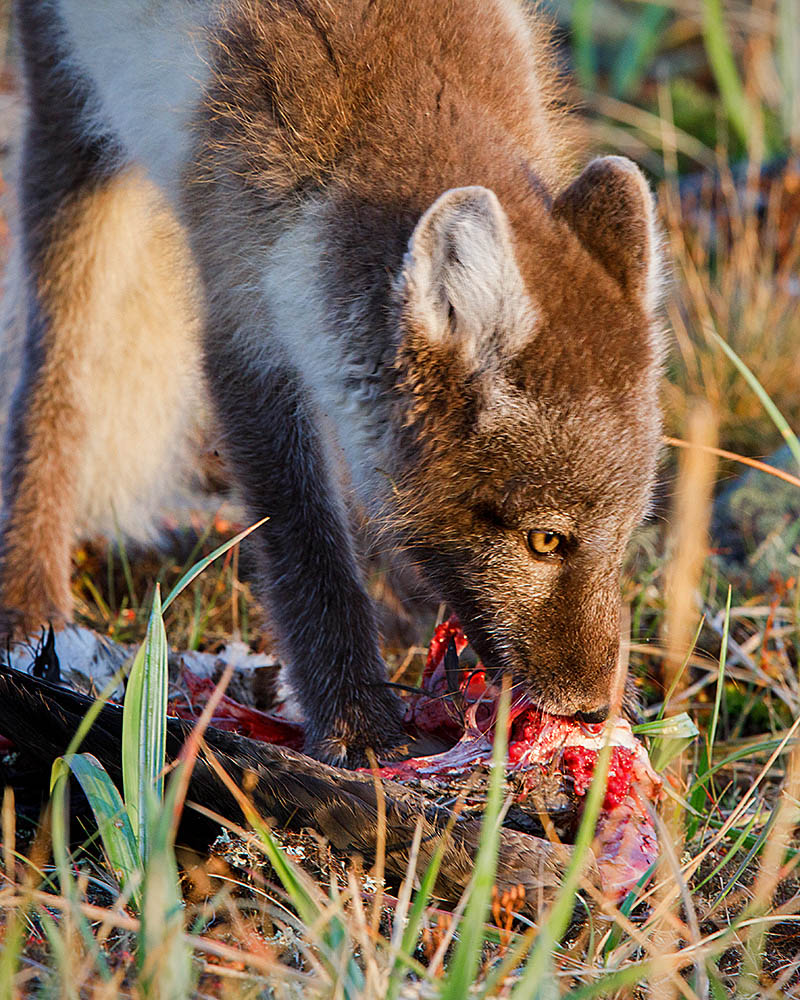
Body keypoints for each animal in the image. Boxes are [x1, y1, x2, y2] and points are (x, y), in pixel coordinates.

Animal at [0, 1, 664, 764]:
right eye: (546, 541)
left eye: (627, 536)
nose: (592, 710)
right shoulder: (244, 322)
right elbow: (306, 549)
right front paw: (357, 727)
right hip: (69, 121)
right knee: (54, 368)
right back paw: (29, 600)